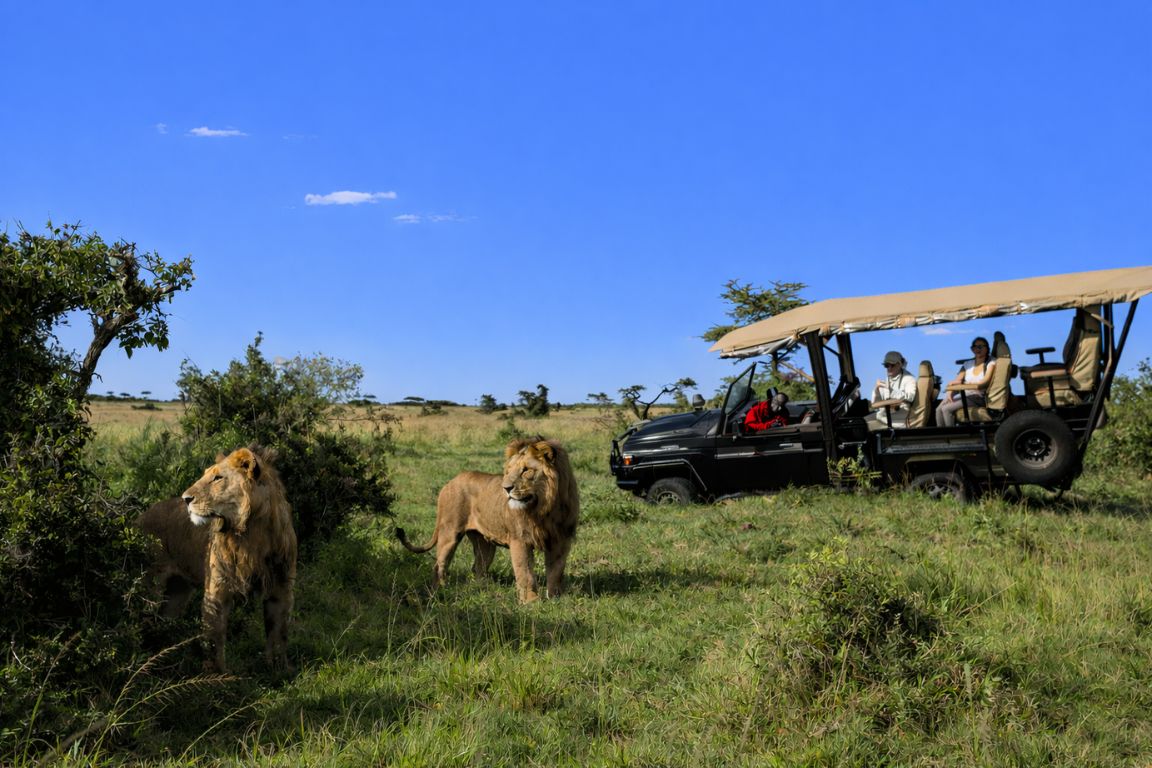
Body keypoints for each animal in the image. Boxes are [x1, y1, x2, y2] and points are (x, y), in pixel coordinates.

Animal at [136, 445, 298, 673]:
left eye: (217, 478)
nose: (185, 498)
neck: (251, 534)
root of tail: (140, 517)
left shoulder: (281, 587)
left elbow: (278, 632)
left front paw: (279, 669)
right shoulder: (217, 590)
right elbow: (214, 639)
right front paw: (217, 675)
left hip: (177, 592)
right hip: (149, 587)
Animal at [397, 436, 580, 603]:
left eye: (526, 470)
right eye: (508, 471)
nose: (506, 488)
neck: (545, 509)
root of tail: (450, 482)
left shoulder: (561, 541)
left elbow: (556, 572)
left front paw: (556, 599)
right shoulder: (520, 539)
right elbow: (525, 573)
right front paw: (531, 602)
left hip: (484, 542)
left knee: (478, 567)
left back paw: (483, 589)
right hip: (449, 532)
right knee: (439, 564)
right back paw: (439, 590)